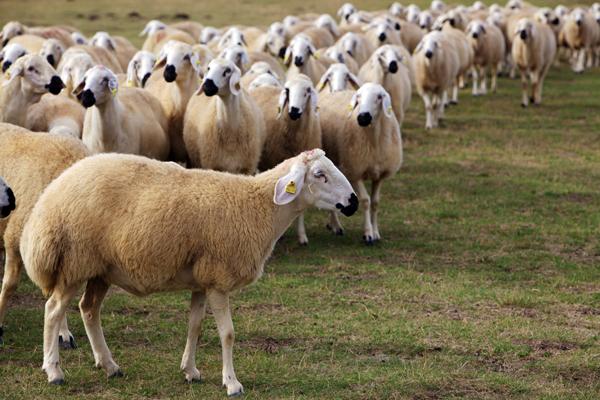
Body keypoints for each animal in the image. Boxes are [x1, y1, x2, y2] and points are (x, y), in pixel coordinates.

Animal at [21, 148, 358, 394]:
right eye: (319, 175)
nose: (353, 201)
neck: (259, 208)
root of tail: (48, 199)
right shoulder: (219, 279)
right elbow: (227, 333)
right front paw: (232, 383)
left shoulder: (202, 281)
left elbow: (195, 327)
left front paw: (191, 371)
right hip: (74, 261)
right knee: (53, 310)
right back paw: (54, 370)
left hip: (101, 269)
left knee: (88, 309)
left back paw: (109, 365)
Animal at [318, 83, 404, 244]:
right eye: (358, 96)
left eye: (379, 96)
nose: (363, 117)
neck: (374, 140)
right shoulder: (355, 171)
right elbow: (365, 201)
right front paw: (368, 234)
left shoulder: (380, 175)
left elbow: (375, 202)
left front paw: (376, 232)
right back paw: (336, 226)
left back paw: (332, 224)